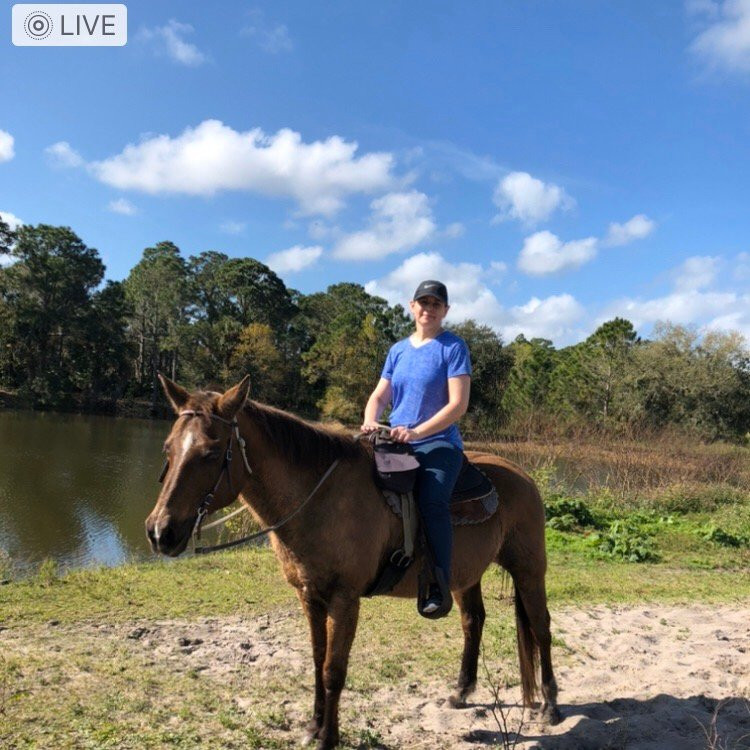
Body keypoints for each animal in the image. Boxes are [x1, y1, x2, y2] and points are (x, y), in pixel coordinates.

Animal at [144, 378, 560, 748]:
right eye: (167, 449)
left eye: (211, 453)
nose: (160, 531)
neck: (320, 499)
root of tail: (522, 475)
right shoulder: (309, 596)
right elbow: (317, 659)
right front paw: (313, 727)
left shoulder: (345, 599)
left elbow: (333, 670)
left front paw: (328, 737)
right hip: (464, 576)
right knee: (473, 621)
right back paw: (461, 691)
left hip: (529, 569)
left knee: (541, 627)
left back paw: (550, 705)